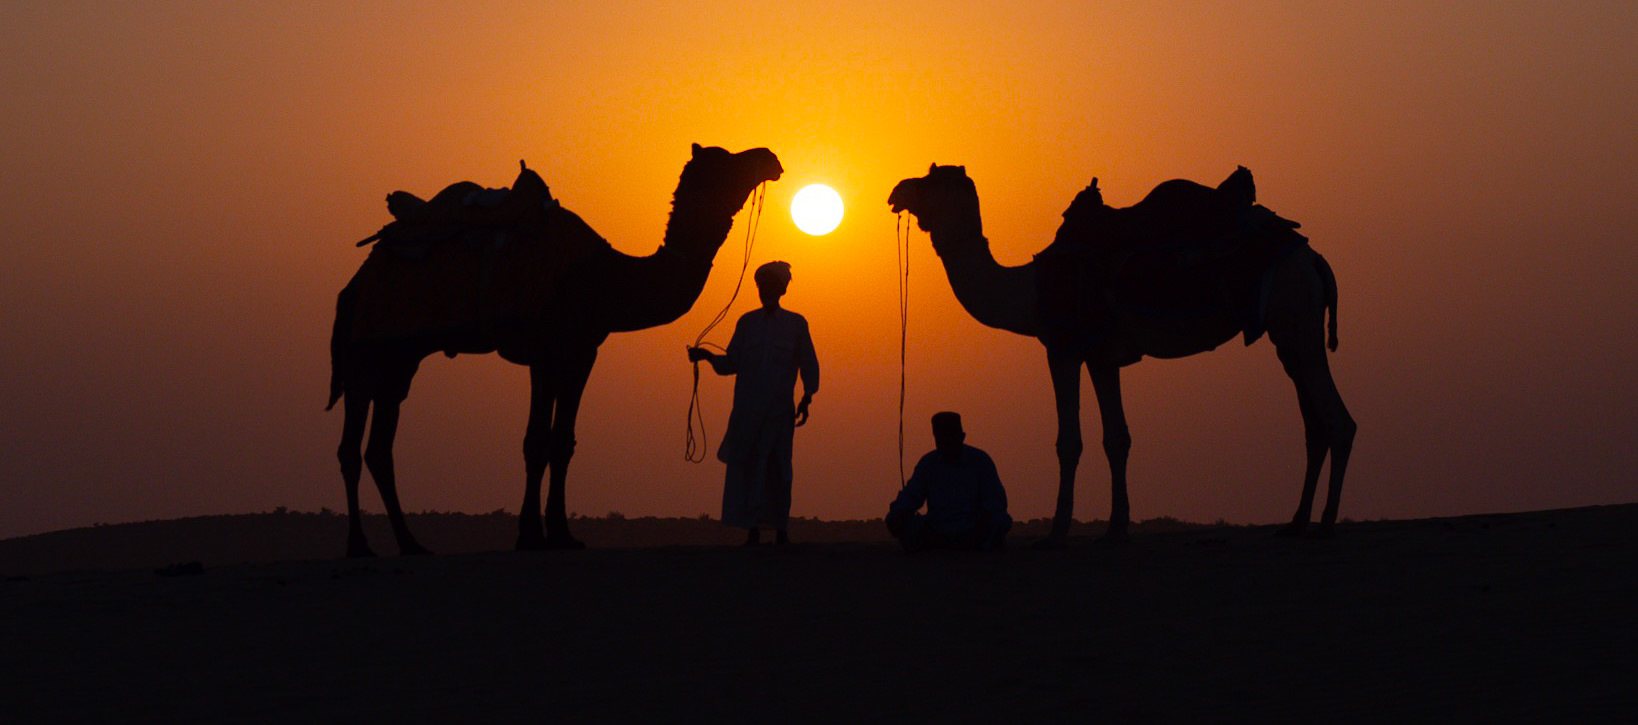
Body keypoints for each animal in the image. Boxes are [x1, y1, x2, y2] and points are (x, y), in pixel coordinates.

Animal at [329, 146, 782, 556]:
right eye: (727, 161)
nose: (770, 158)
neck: (604, 277)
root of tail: (353, 286)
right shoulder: (545, 350)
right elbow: (535, 441)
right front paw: (530, 535)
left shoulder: (581, 352)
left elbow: (563, 442)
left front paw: (563, 534)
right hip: (367, 352)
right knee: (351, 447)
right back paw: (359, 546)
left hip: (398, 361)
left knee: (379, 446)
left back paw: (411, 544)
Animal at [897, 162, 1356, 543]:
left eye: (930, 179)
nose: (896, 191)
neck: (1028, 289)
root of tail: (1314, 258)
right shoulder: (1102, 356)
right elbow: (1117, 438)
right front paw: (1117, 526)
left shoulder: (1062, 347)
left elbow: (1069, 442)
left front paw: (1059, 528)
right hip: (1291, 332)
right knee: (1314, 422)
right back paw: (1296, 522)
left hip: (1295, 314)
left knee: (1338, 419)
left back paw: (1326, 523)